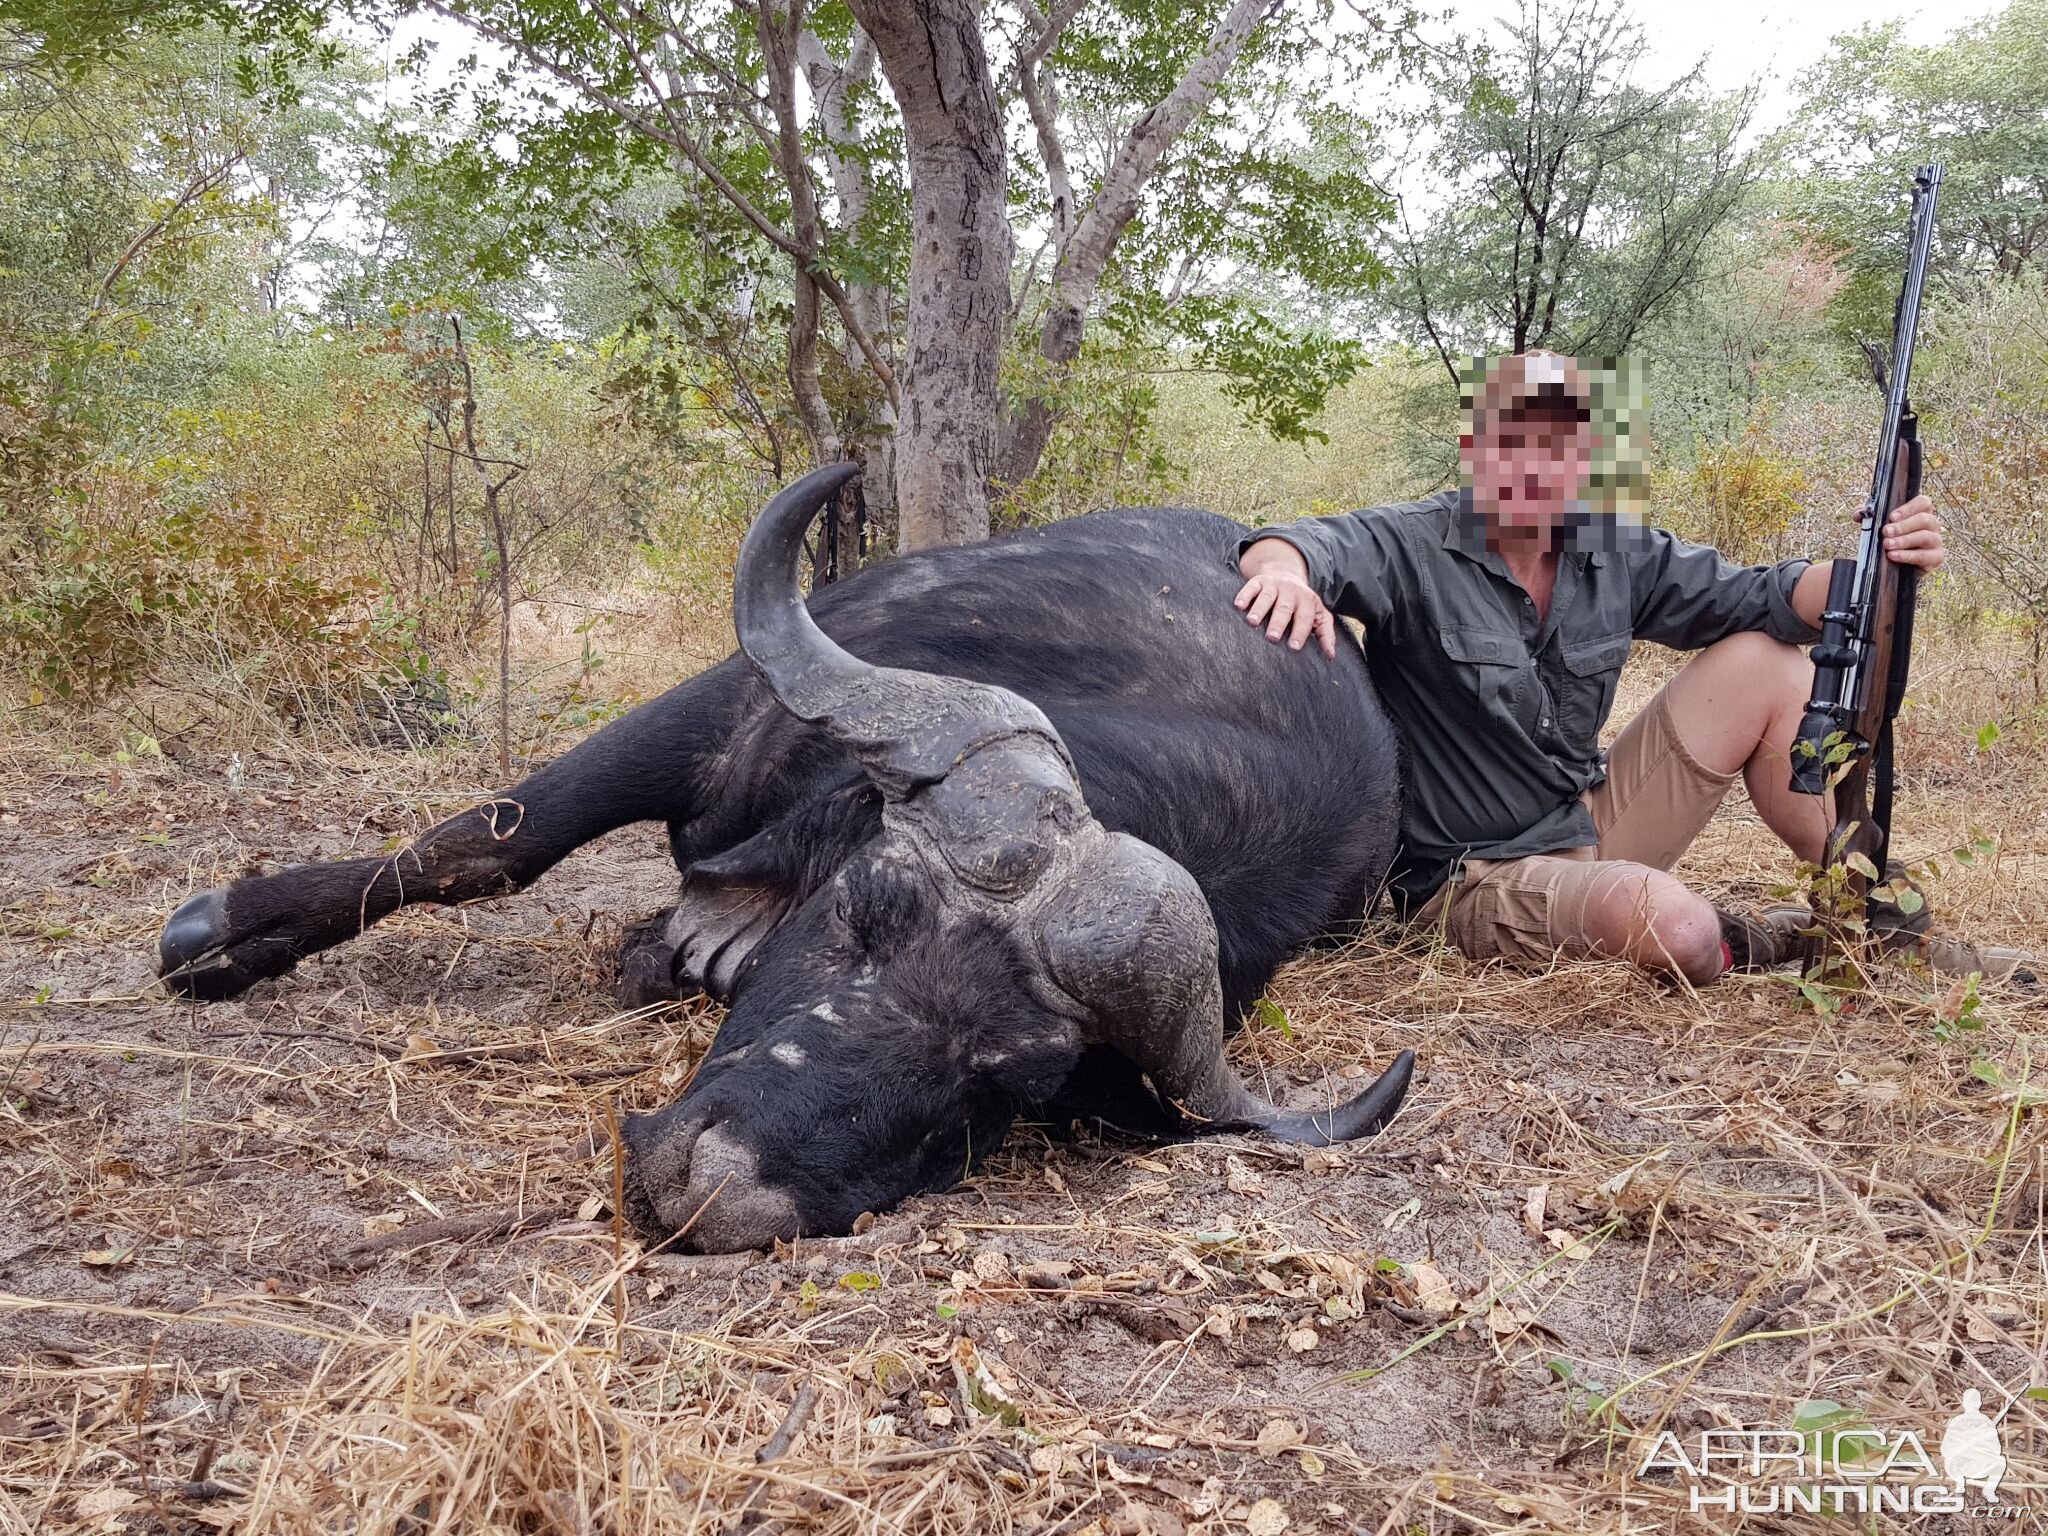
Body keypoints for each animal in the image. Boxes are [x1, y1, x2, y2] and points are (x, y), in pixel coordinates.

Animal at [159, 466, 1417, 1253]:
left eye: (1016, 1081)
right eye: (862, 911)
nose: (709, 1194)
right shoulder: (711, 710)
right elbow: (493, 841)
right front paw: (224, 934)